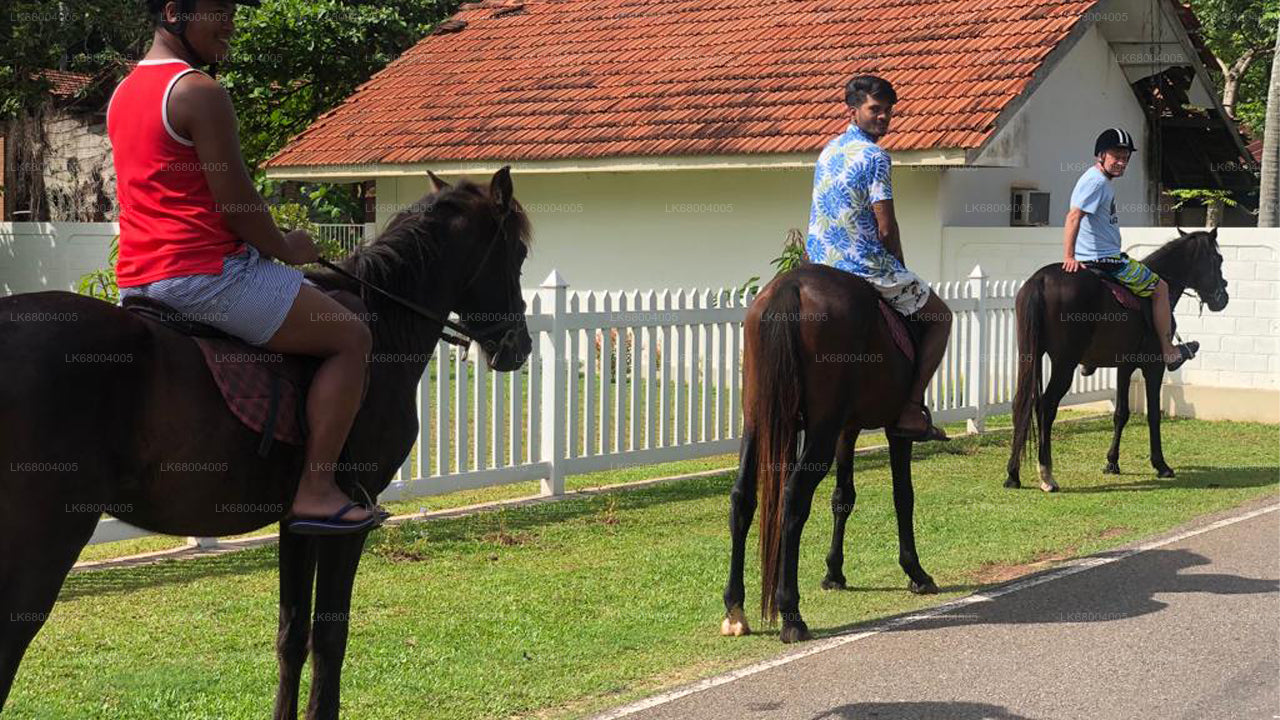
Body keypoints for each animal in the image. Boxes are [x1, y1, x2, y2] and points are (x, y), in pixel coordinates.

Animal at [0, 167, 529, 717]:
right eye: (517, 253)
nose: (520, 347)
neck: (383, 327)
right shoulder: (350, 522)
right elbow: (330, 638)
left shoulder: (297, 523)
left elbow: (292, 636)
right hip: (43, 542)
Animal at [721, 265, 942, 645]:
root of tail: (790, 287)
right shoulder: (894, 430)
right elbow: (903, 496)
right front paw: (915, 570)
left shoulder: (845, 429)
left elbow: (843, 497)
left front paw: (834, 572)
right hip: (820, 429)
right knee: (794, 497)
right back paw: (791, 613)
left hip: (758, 420)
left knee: (742, 498)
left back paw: (735, 607)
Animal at [1008, 226, 1228, 489]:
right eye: (1218, 259)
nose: (1223, 297)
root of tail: (1040, 280)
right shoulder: (1154, 367)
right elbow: (1154, 414)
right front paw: (1160, 464)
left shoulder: (1124, 366)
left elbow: (1121, 413)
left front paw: (1112, 462)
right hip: (1064, 364)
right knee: (1046, 405)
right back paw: (1046, 473)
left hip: (1029, 357)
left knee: (1021, 403)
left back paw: (1013, 474)